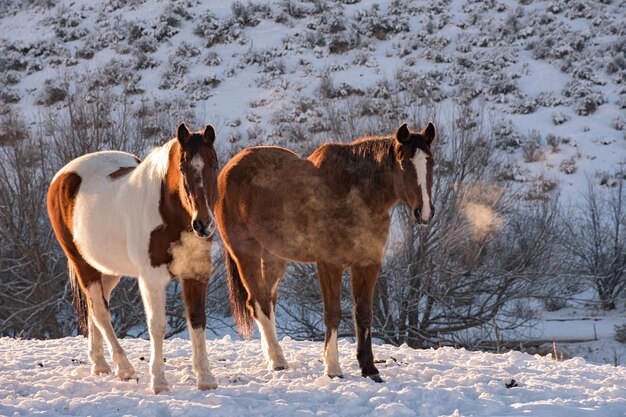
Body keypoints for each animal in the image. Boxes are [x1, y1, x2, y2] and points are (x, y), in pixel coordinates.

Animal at [46, 122, 218, 392]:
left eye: (214, 164)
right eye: (182, 167)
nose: (203, 224)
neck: (171, 217)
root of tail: (63, 175)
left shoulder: (195, 274)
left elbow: (197, 321)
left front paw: (206, 378)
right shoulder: (152, 278)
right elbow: (157, 326)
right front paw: (159, 381)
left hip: (109, 271)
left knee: (94, 308)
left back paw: (100, 364)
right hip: (83, 265)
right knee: (100, 312)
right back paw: (123, 367)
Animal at [214, 121, 434, 380]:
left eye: (430, 162)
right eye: (403, 163)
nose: (424, 212)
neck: (354, 193)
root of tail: (227, 170)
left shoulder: (368, 264)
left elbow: (364, 312)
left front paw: (369, 368)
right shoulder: (329, 264)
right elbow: (333, 313)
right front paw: (333, 367)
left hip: (273, 258)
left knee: (267, 301)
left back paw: (274, 357)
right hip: (245, 253)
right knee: (258, 302)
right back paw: (277, 361)